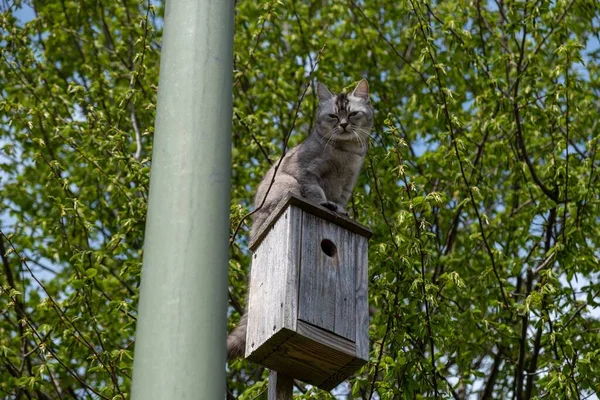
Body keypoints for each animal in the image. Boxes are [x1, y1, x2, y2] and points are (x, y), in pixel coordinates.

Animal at [227, 77, 372, 360]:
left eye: (352, 114)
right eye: (333, 116)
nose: (343, 125)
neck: (344, 152)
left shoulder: (346, 186)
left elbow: (339, 202)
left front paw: (339, 211)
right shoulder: (305, 174)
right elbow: (317, 194)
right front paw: (325, 205)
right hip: (286, 184)